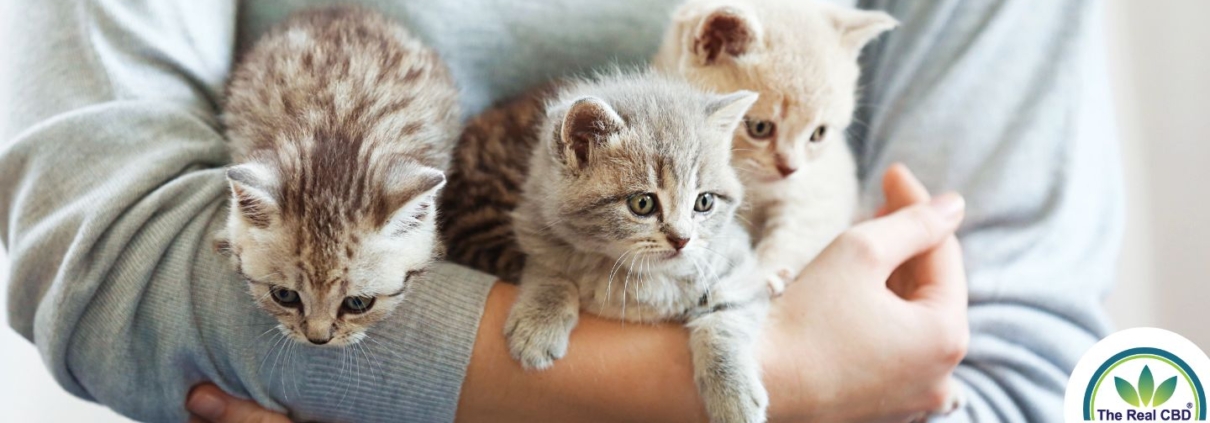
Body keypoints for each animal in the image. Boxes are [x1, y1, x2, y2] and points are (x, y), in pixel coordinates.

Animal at [503, 71, 769, 420]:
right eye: (642, 203)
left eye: (704, 202)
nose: (682, 239)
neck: (642, 277)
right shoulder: (538, 226)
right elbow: (550, 268)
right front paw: (538, 323)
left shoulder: (737, 262)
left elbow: (725, 317)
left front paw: (734, 397)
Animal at [653, 0, 900, 293]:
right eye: (760, 128)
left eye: (818, 133)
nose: (789, 168)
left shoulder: (820, 189)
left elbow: (797, 230)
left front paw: (764, 272)